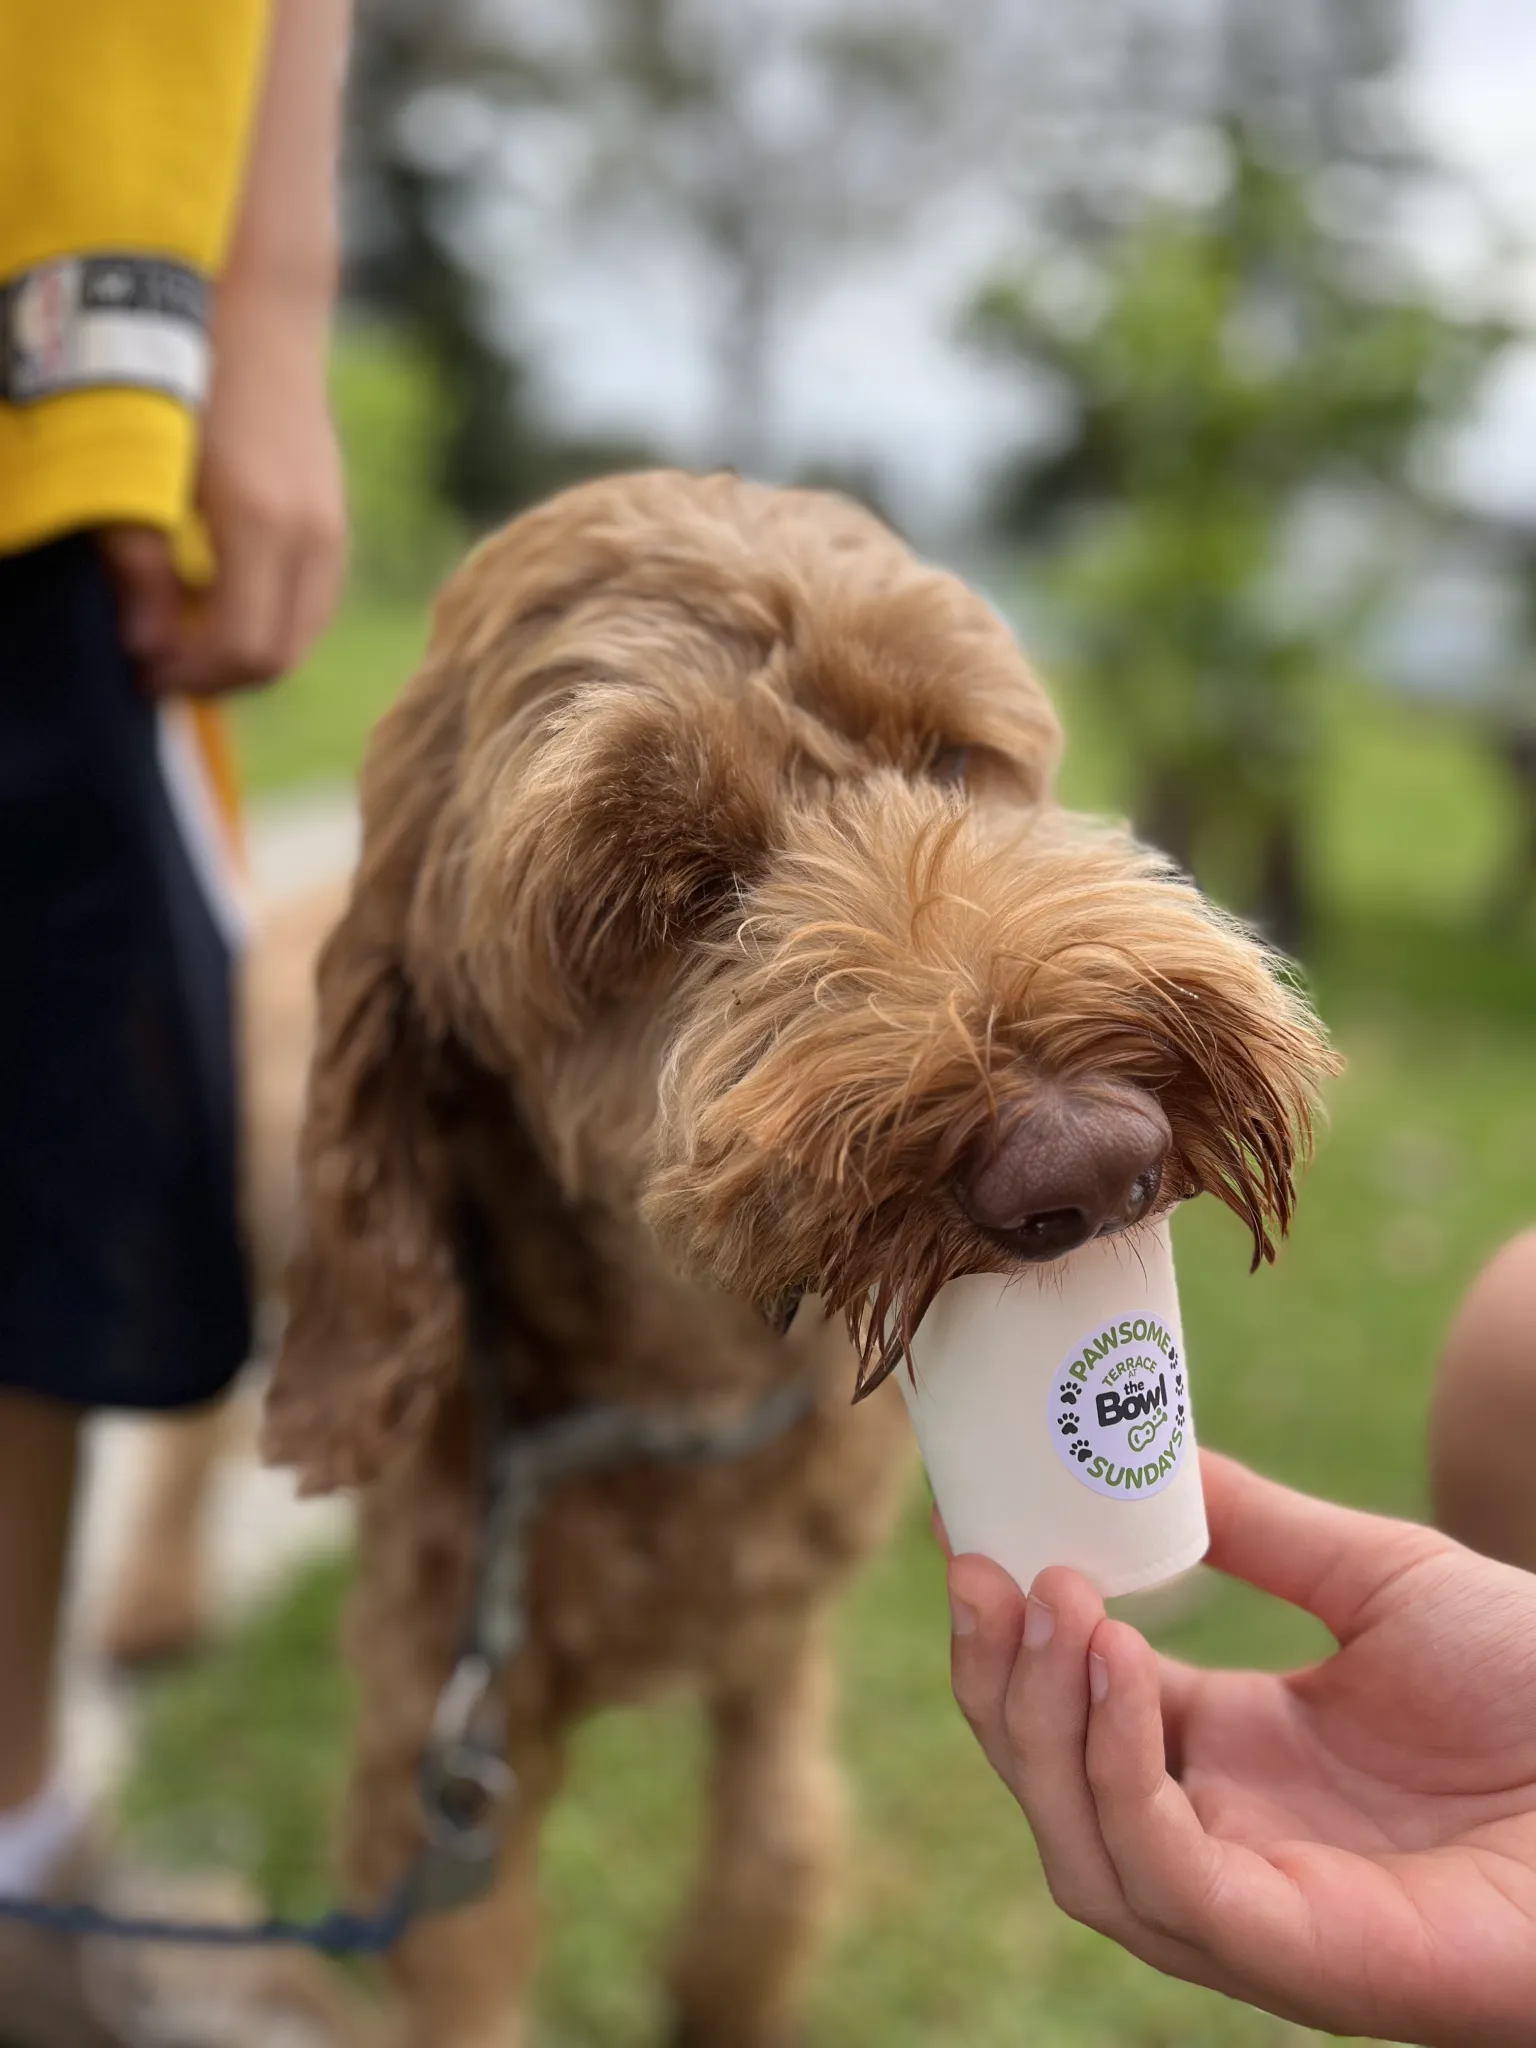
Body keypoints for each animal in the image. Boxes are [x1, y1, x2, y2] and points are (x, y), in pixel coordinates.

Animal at [262, 471, 1335, 2039]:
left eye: (952, 758)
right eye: (659, 893)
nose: (1088, 1156)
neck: (680, 1390)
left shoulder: (773, 1656)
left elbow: (764, 1875)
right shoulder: (440, 1746)